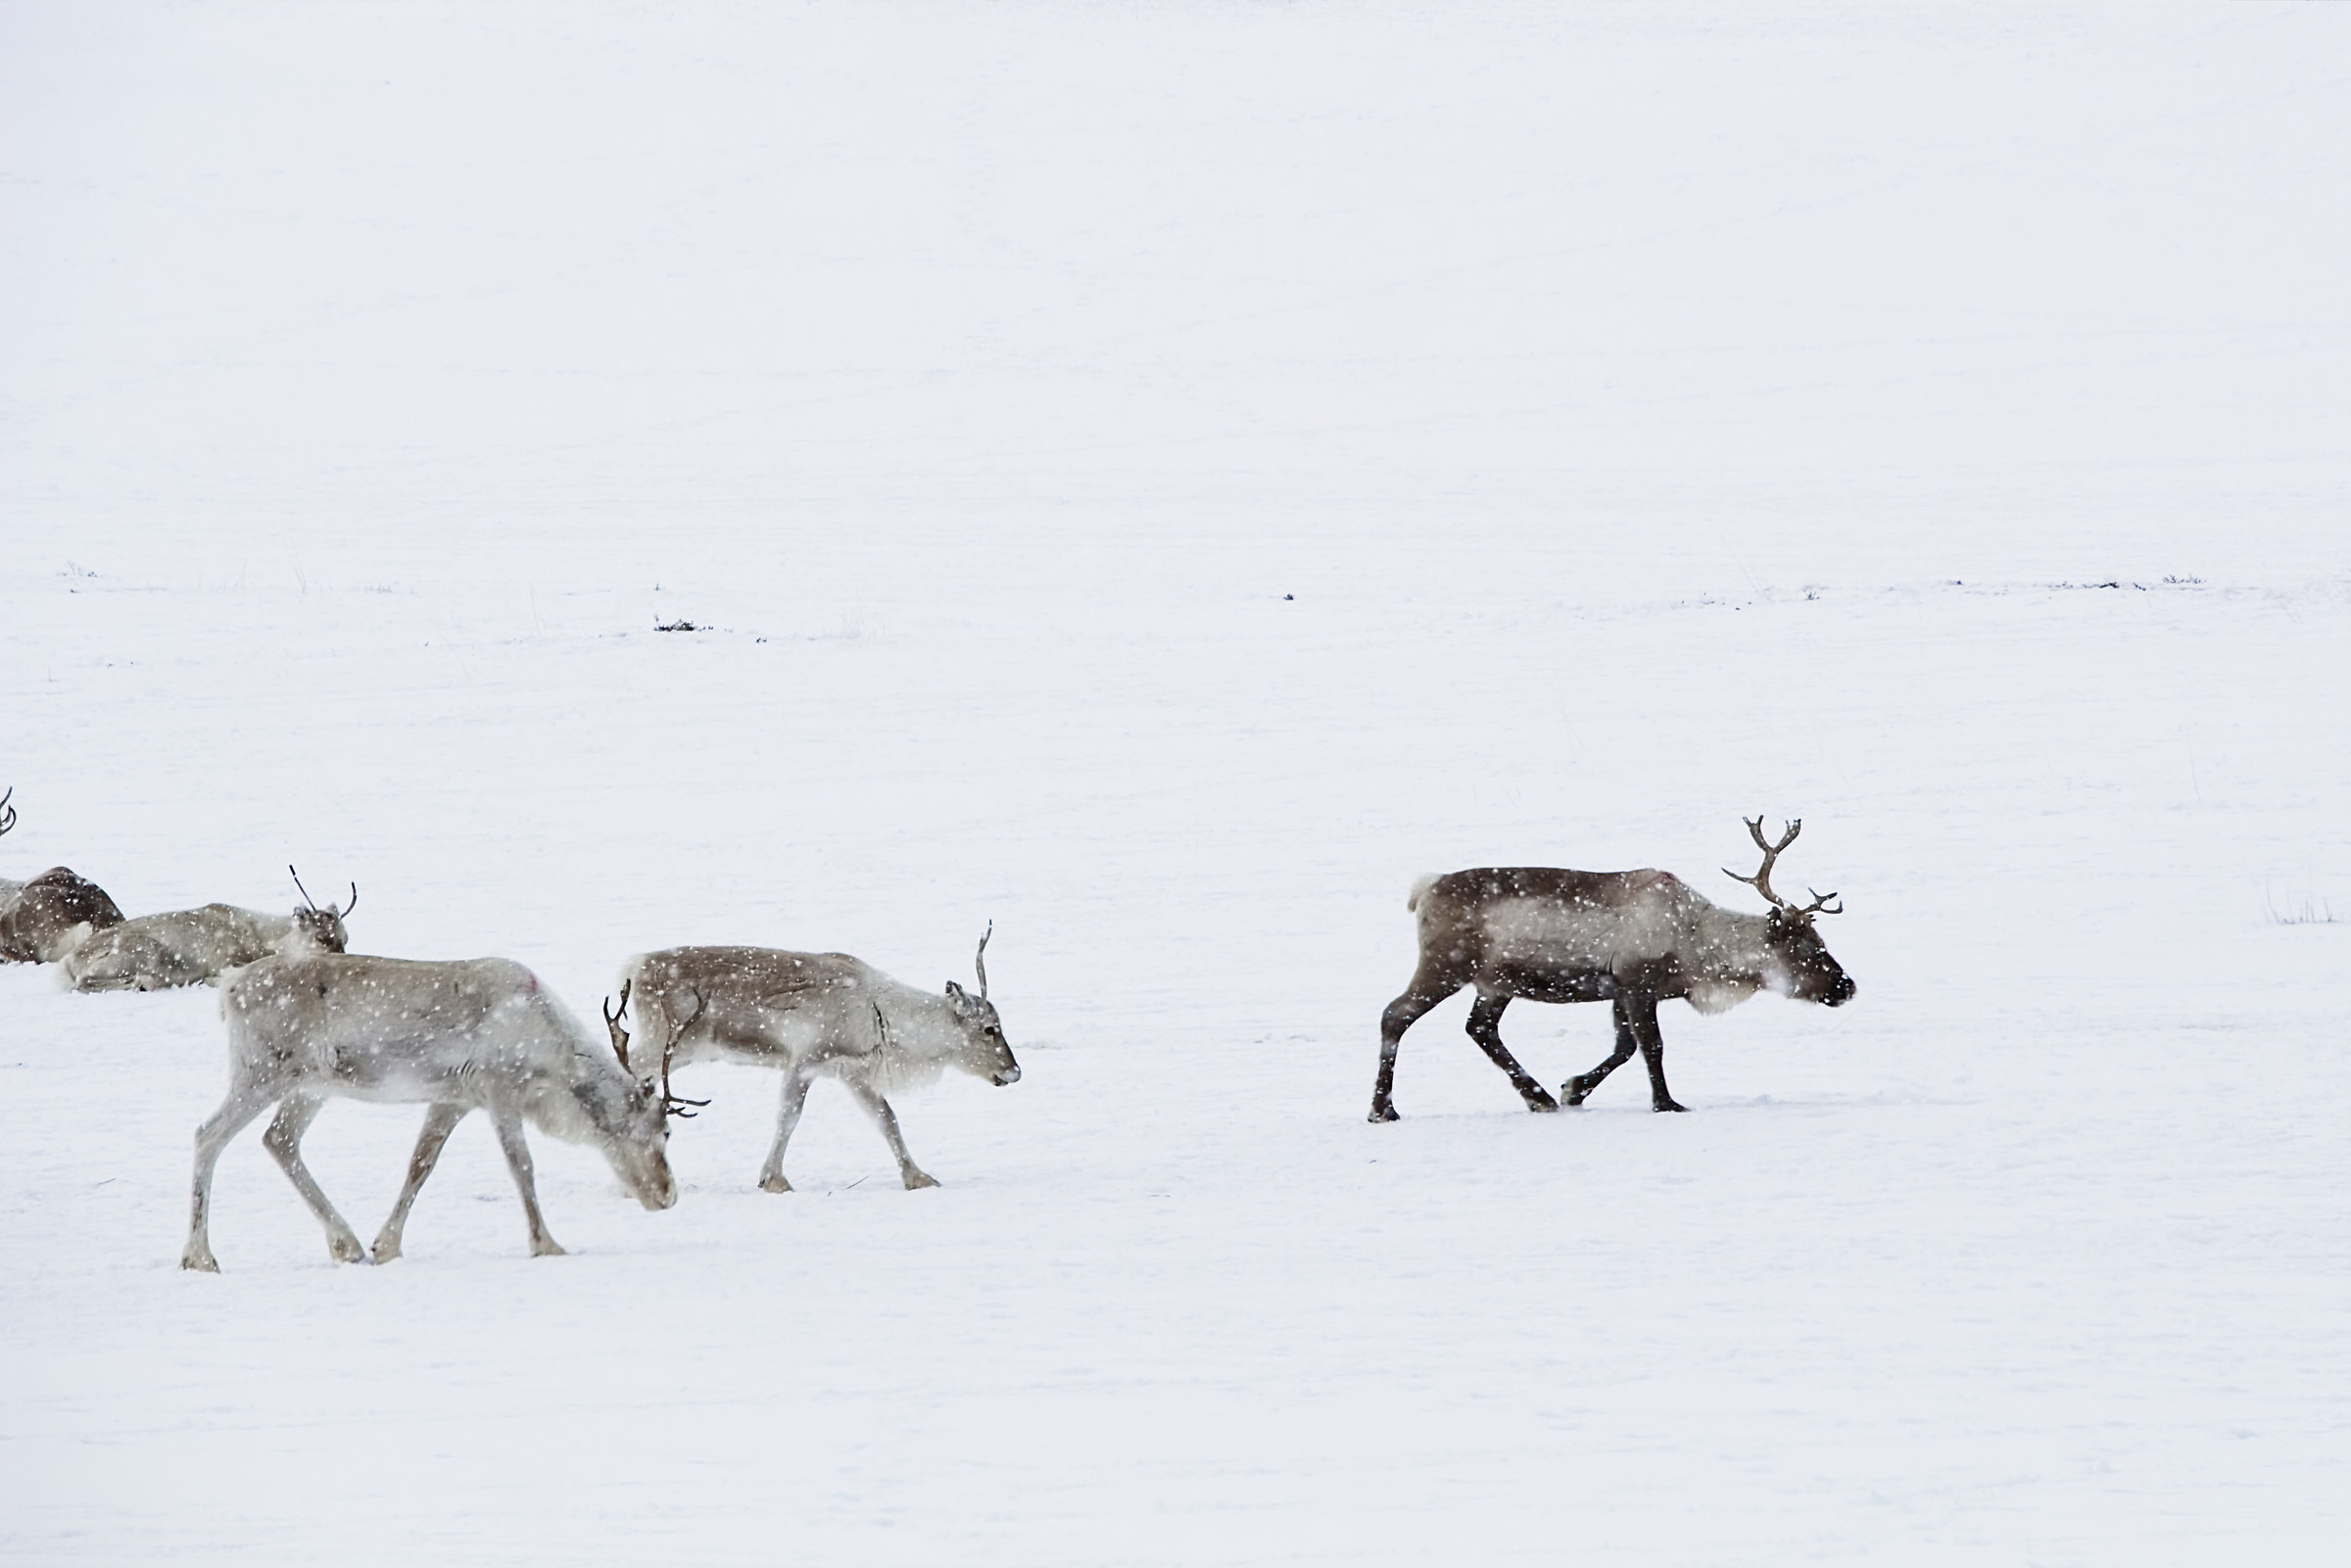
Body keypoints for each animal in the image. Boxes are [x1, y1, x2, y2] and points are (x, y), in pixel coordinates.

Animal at [62, 868, 353, 991]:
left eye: (345, 937)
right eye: (320, 937)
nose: (344, 963)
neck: (262, 937)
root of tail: (70, 959)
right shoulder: (223, 960)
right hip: (143, 950)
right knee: (84, 982)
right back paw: (143, 982)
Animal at [183, 952, 690, 1271]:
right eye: (664, 1132)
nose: (669, 1196)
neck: (554, 1067)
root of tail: (228, 987)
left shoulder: (453, 1097)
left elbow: (420, 1165)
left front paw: (386, 1246)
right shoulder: (500, 1090)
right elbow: (522, 1166)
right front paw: (547, 1244)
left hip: (311, 1085)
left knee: (279, 1139)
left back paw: (347, 1244)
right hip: (264, 1071)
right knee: (208, 1134)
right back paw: (199, 1256)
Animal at [616, 925, 1020, 1192]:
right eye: (989, 1029)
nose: (1014, 1072)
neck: (883, 1018)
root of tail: (634, 967)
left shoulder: (851, 1072)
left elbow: (886, 1119)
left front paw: (917, 1177)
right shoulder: (805, 1060)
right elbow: (789, 1118)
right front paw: (774, 1180)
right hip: (667, 1042)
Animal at [1369, 817, 1855, 1123]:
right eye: (1809, 949)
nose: (1847, 986)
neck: (1696, 943)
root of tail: (1424, 890)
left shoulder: (1621, 990)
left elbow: (1623, 1048)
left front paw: (1572, 1089)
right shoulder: (1637, 982)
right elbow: (1652, 1046)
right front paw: (1666, 1103)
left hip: (1495, 982)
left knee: (1480, 1028)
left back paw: (1540, 1099)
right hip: (1445, 966)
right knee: (1396, 1014)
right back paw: (1382, 1109)